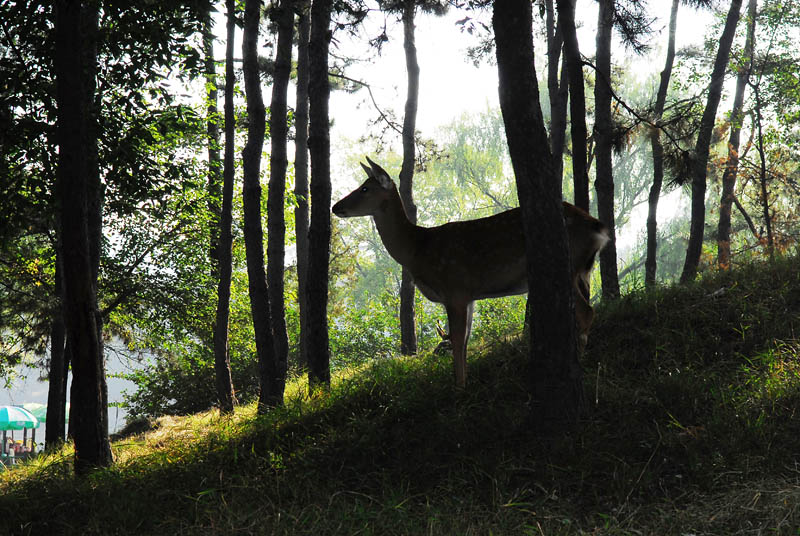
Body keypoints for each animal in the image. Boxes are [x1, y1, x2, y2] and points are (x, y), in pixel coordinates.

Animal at [332, 157, 609, 388]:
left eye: (364, 188)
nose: (336, 207)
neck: (417, 249)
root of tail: (598, 226)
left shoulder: (454, 289)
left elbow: (456, 341)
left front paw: (459, 388)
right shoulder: (469, 296)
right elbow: (465, 340)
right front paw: (464, 383)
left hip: (570, 264)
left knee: (587, 312)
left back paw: (579, 367)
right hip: (583, 271)